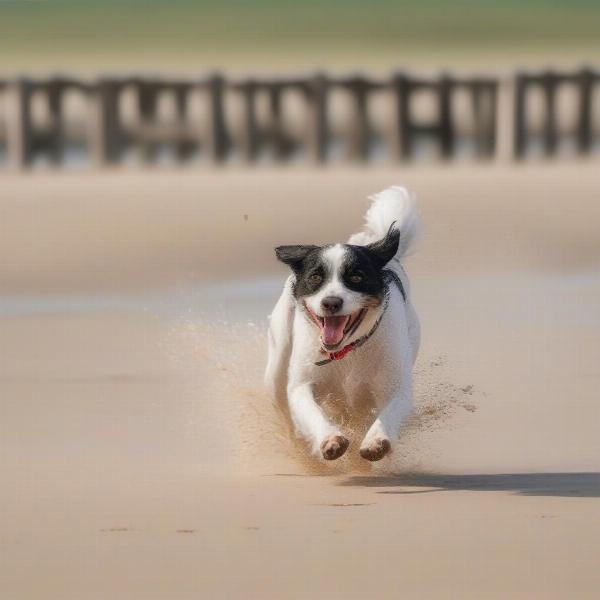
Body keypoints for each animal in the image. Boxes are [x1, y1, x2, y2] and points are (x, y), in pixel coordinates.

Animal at [264, 188, 420, 464]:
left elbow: (389, 412)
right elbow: (311, 410)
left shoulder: (396, 385)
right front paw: (330, 439)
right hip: (277, 359)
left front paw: (376, 441)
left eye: (356, 277)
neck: (346, 351)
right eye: (315, 277)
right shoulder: (303, 384)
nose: (331, 302)